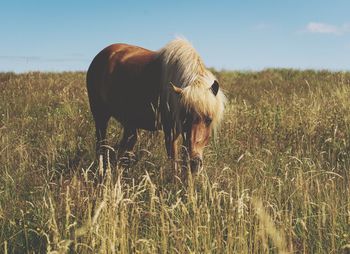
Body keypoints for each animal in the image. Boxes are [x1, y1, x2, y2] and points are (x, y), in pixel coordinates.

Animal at [86, 38, 226, 176]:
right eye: (185, 119)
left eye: (209, 120)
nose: (195, 164)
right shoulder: (170, 131)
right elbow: (174, 161)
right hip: (100, 117)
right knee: (102, 146)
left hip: (129, 125)